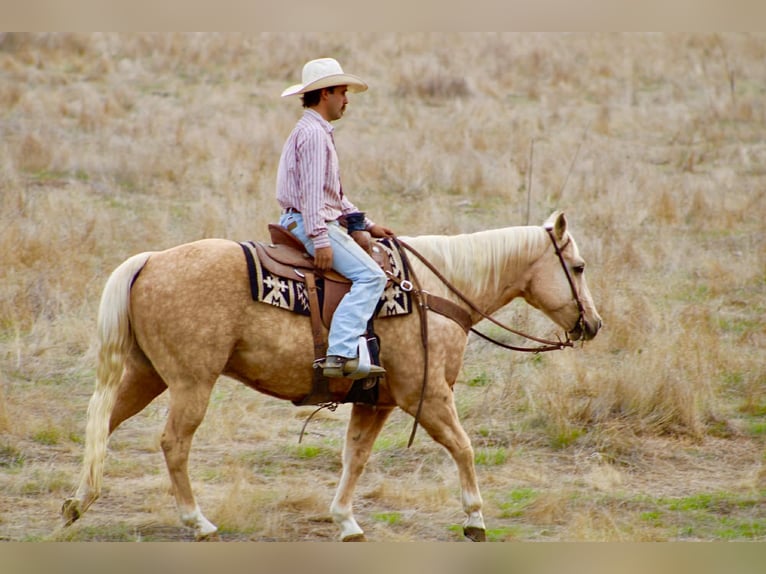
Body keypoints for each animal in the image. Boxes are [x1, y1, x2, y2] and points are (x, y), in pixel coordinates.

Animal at [61, 210, 602, 541]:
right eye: (577, 267)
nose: (593, 324)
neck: (432, 292)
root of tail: (150, 261)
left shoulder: (376, 400)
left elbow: (355, 457)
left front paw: (345, 521)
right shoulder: (426, 396)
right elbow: (463, 447)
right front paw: (475, 519)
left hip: (147, 375)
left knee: (101, 424)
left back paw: (77, 502)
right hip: (192, 383)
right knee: (173, 444)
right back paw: (198, 522)